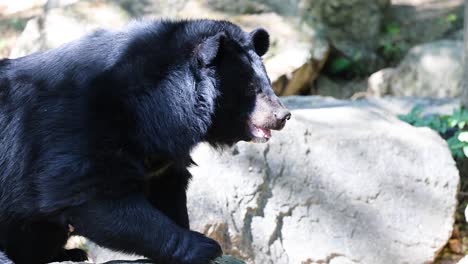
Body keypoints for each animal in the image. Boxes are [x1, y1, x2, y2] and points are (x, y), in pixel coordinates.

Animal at [0, 19, 288, 264]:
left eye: (268, 83)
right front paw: (206, 246)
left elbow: (168, 191)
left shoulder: (161, 155)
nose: (283, 116)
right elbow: (95, 196)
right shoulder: (76, 130)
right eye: (251, 88)